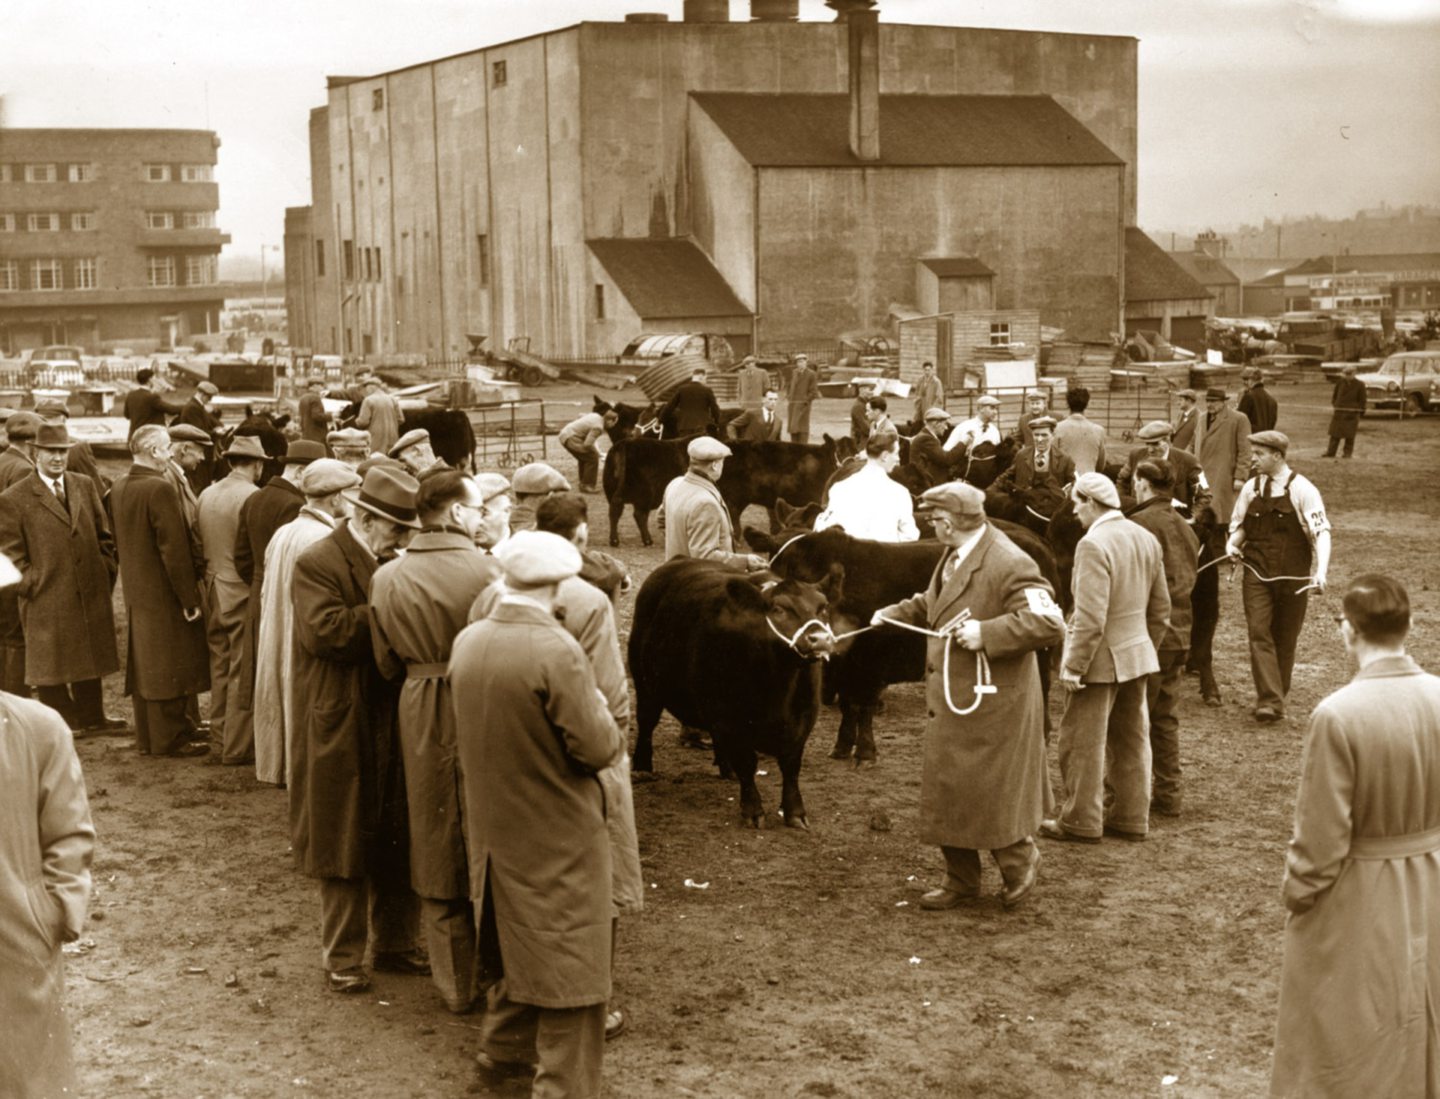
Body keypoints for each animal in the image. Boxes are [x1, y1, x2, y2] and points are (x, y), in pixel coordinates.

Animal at [630, 561, 840, 829]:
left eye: (823, 608)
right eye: (778, 609)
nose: (820, 639)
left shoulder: (802, 721)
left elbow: (791, 766)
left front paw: (795, 812)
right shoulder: (731, 720)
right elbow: (747, 763)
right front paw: (753, 810)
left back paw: (725, 767)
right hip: (645, 682)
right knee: (646, 722)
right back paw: (642, 766)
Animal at [748, 524, 1065, 766]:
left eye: (793, 573)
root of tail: (1033, 538)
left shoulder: (871, 665)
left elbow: (863, 706)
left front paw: (865, 752)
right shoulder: (847, 667)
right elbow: (848, 705)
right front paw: (842, 746)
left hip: (1039, 652)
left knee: (1042, 689)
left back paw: (1043, 734)